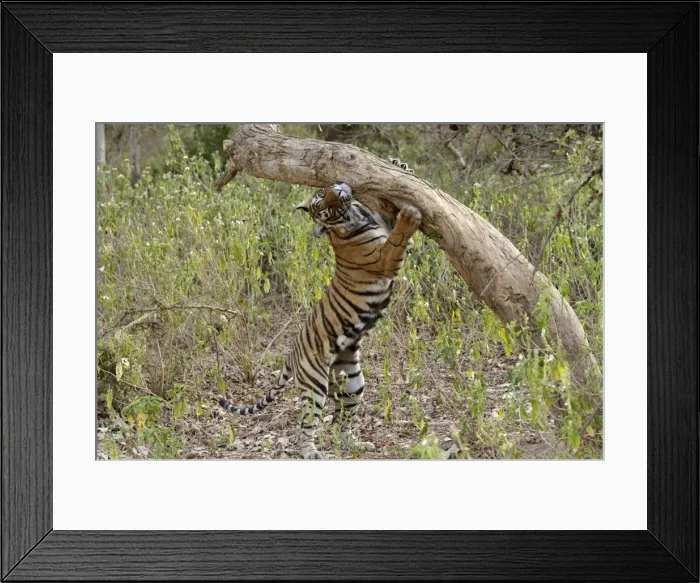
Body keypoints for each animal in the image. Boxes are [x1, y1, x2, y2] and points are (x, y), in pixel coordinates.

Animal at [219, 158, 421, 459]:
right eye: (325, 207)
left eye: (320, 195)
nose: (338, 190)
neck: (355, 214)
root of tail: (291, 355)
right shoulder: (384, 259)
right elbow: (398, 237)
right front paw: (410, 215)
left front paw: (401, 165)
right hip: (314, 385)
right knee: (306, 424)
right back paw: (311, 452)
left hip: (352, 381)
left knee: (340, 421)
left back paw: (356, 444)